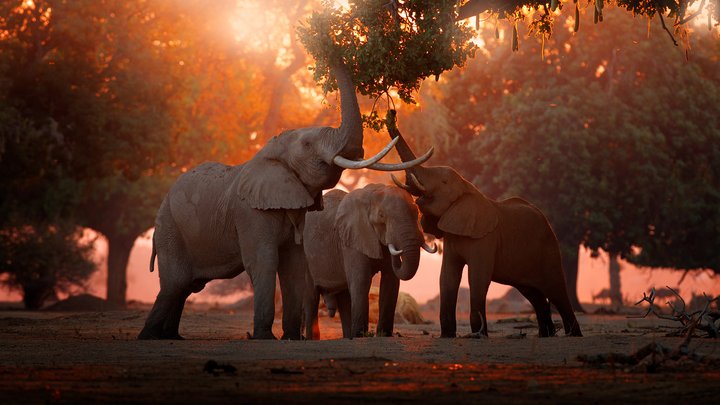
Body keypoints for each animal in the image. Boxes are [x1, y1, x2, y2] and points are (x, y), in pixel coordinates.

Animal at [303, 184, 437, 339]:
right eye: (381, 215)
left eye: (417, 213)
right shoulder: (352, 239)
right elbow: (362, 280)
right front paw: (361, 335)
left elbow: (390, 281)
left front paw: (384, 335)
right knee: (312, 297)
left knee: (344, 297)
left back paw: (348, 336)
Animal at [385, 111, 582, 338]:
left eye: (444, 182)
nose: (392, 114)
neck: (467, 187)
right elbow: (447, 277)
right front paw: (448, 336)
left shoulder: (485, 239)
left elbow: (477, 277)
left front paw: (479, 335)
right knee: (534, 294)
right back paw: (546, 335)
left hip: (549, 248)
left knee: (556, 291)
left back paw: (574, 335)